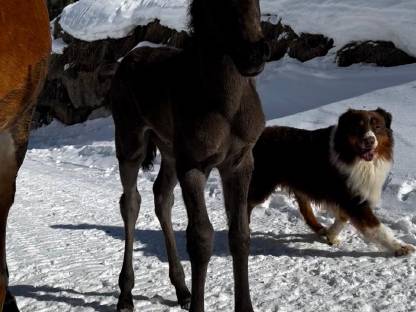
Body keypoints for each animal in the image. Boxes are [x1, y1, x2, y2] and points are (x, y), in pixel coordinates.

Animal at [109, 0, 268, 312]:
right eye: (220, 6)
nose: (255, 53)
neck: (225, 104)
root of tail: (129, 57)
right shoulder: (194, 166)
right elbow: (200, 239)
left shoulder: (240, 163)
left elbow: (240, 235)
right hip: (130, 142)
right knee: (130, 202)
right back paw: (126, 294)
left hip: (171, 153)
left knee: (162, 198)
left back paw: (182, 289)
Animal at [249, 108, 414, 258]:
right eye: (357, 127)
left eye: (377, 127)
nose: (369, 140)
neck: (354, 157)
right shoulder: (353, 199)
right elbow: (377, 227)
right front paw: (400, 247)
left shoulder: (350, 196)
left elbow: (342, 217)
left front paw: (331, 235)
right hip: (261, 184)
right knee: (247, 204)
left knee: (305, 209)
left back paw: (320, 229)